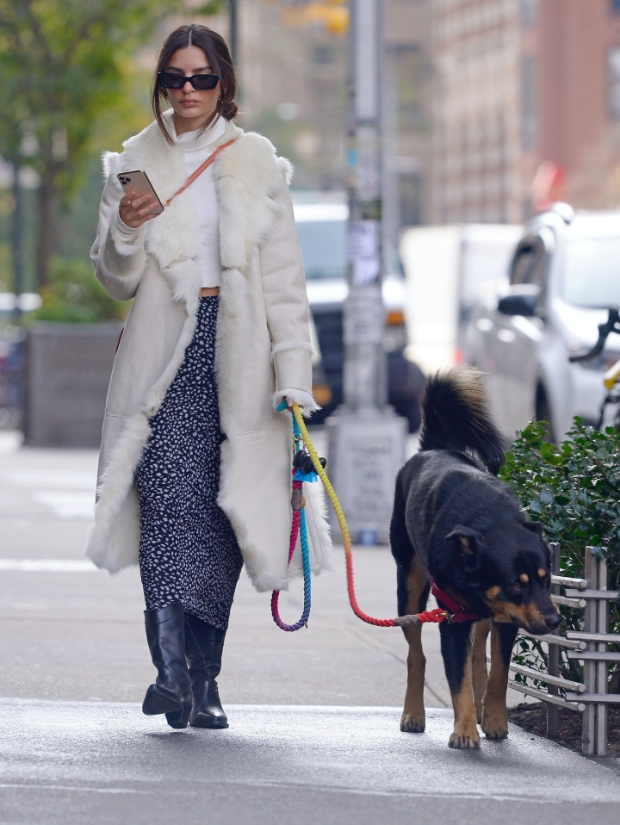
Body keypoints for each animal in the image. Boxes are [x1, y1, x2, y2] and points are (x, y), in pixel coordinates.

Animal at [390, 370, 560, 748]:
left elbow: (497, 673)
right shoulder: (452, 619)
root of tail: (434, 447)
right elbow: (457, 681)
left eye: (547, 580)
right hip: (409, 587)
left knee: (479, 650)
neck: (489, 519)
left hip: (481, 614)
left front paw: (494, 720)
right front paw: (465, 731)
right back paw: (413, 714)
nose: (555, 620)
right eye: (516, 584)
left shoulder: (509, 617)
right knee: (416, 655)